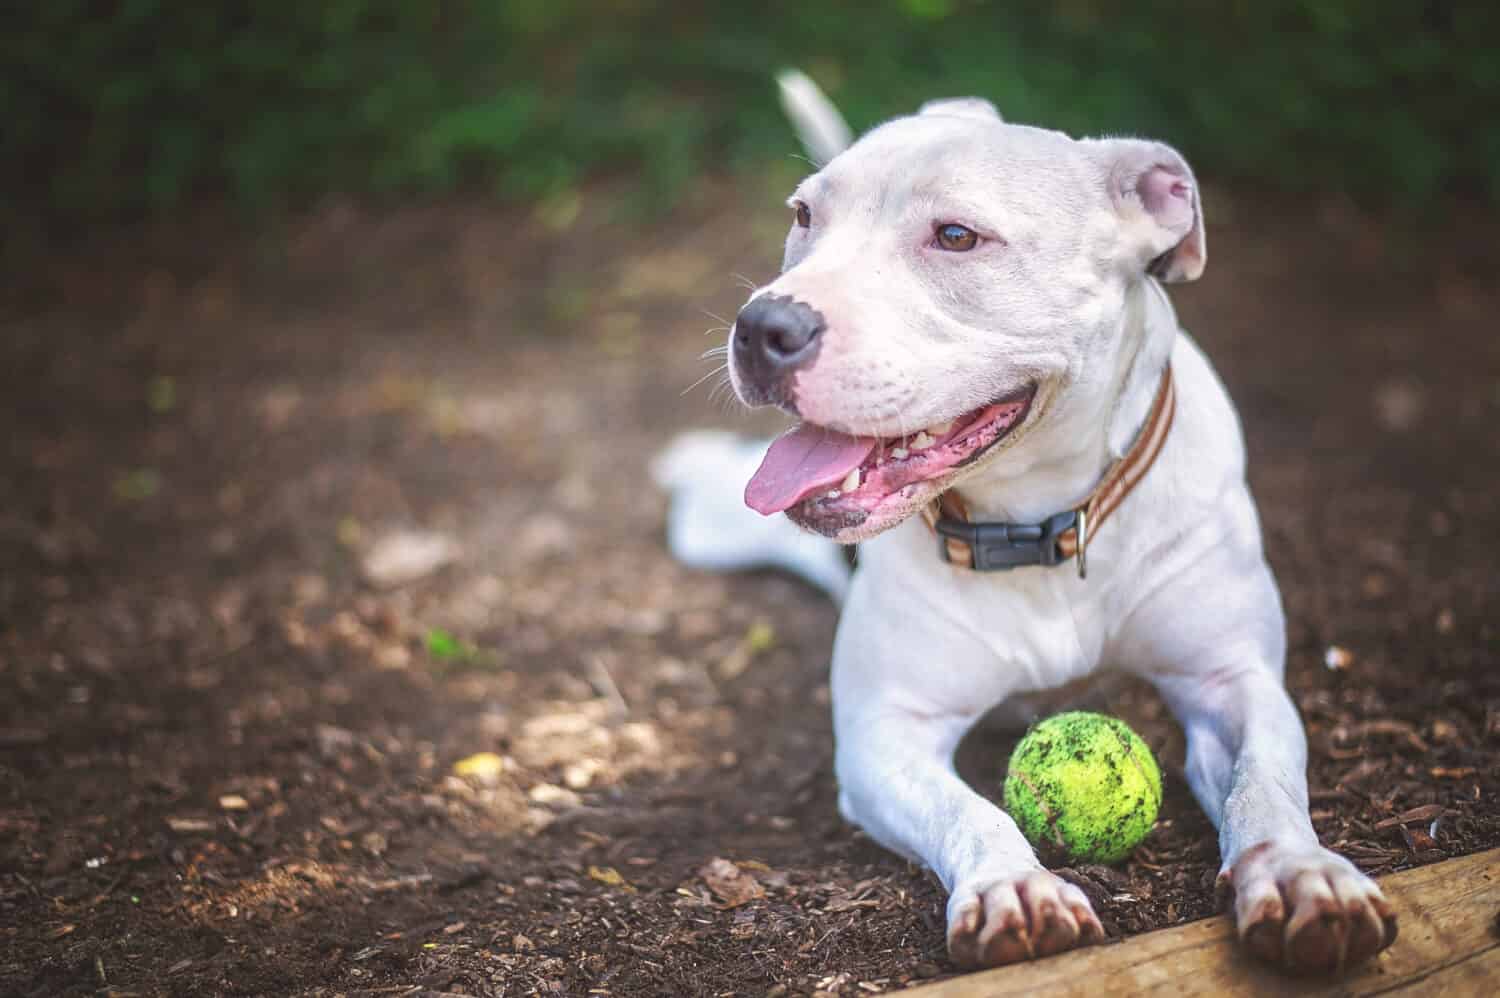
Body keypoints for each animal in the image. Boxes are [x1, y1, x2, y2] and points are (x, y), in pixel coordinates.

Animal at [657, 72, 1392, 972]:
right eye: (803, 216)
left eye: (957, 236)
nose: (764, 325)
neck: (1038, 528)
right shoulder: (884, 735)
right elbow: (971, 809)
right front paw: (1016, 886)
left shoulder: (1233, 682)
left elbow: (1267, 782)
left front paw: (1299, 874)